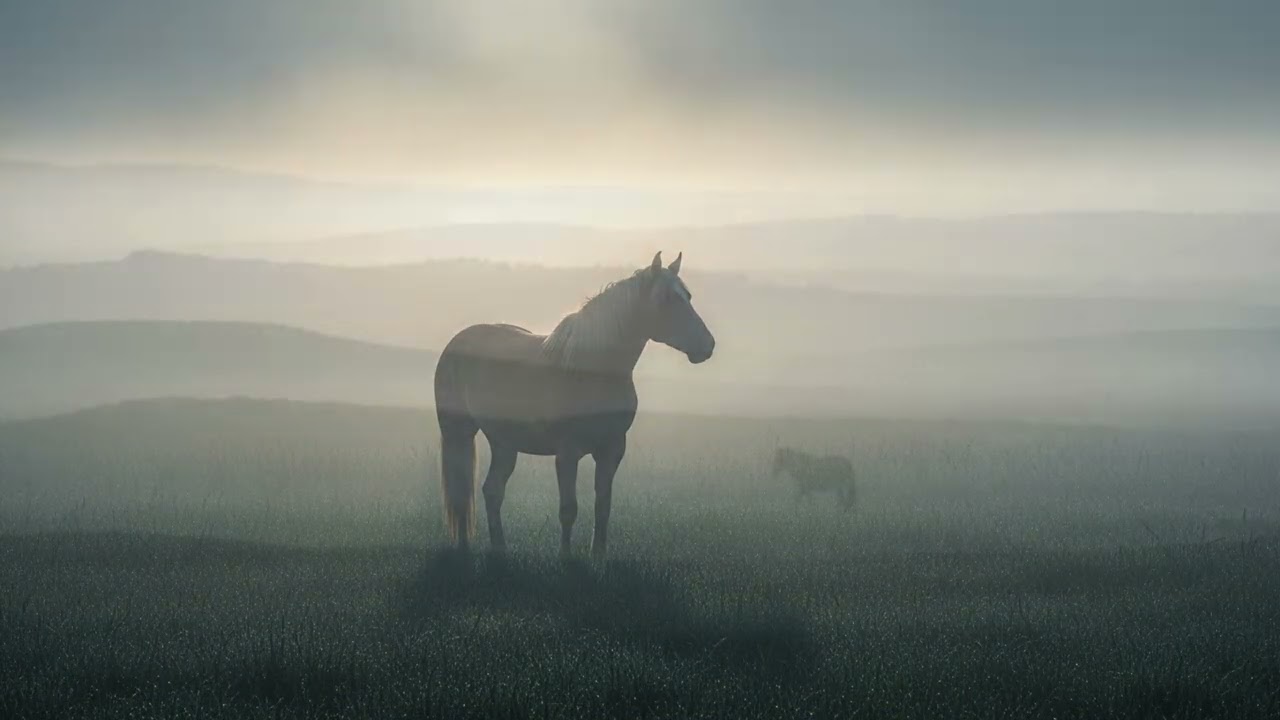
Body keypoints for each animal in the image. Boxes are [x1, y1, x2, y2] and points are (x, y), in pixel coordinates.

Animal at [433, 251, 715, 560]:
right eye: (666, 299)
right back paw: (464, 548)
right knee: (461, 490)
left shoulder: (612, 450)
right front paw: (566, 559)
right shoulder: (567, 453)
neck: (591, 371)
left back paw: (500, 551)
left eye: (688, 296)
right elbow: (568, 509)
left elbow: (602, 507)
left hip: (503, 441)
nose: (707, 345)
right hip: (458, 432)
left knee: (492, 491)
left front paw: (598, 557)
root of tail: (457, 342)